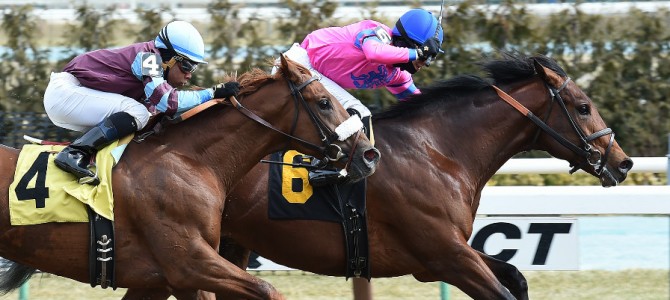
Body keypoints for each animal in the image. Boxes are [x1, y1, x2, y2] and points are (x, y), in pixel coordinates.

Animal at [0, 55, 380, 298]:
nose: (368, 154)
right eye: (324, 102)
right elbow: (268, 289)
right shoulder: (189, 264)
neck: (192, 160)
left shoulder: (161, 280)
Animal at [124, 52, 636, 298]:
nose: (623, 162)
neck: (441, 151)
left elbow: (516, 277)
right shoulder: (445, 253)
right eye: (583, 106)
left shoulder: (440, 256)